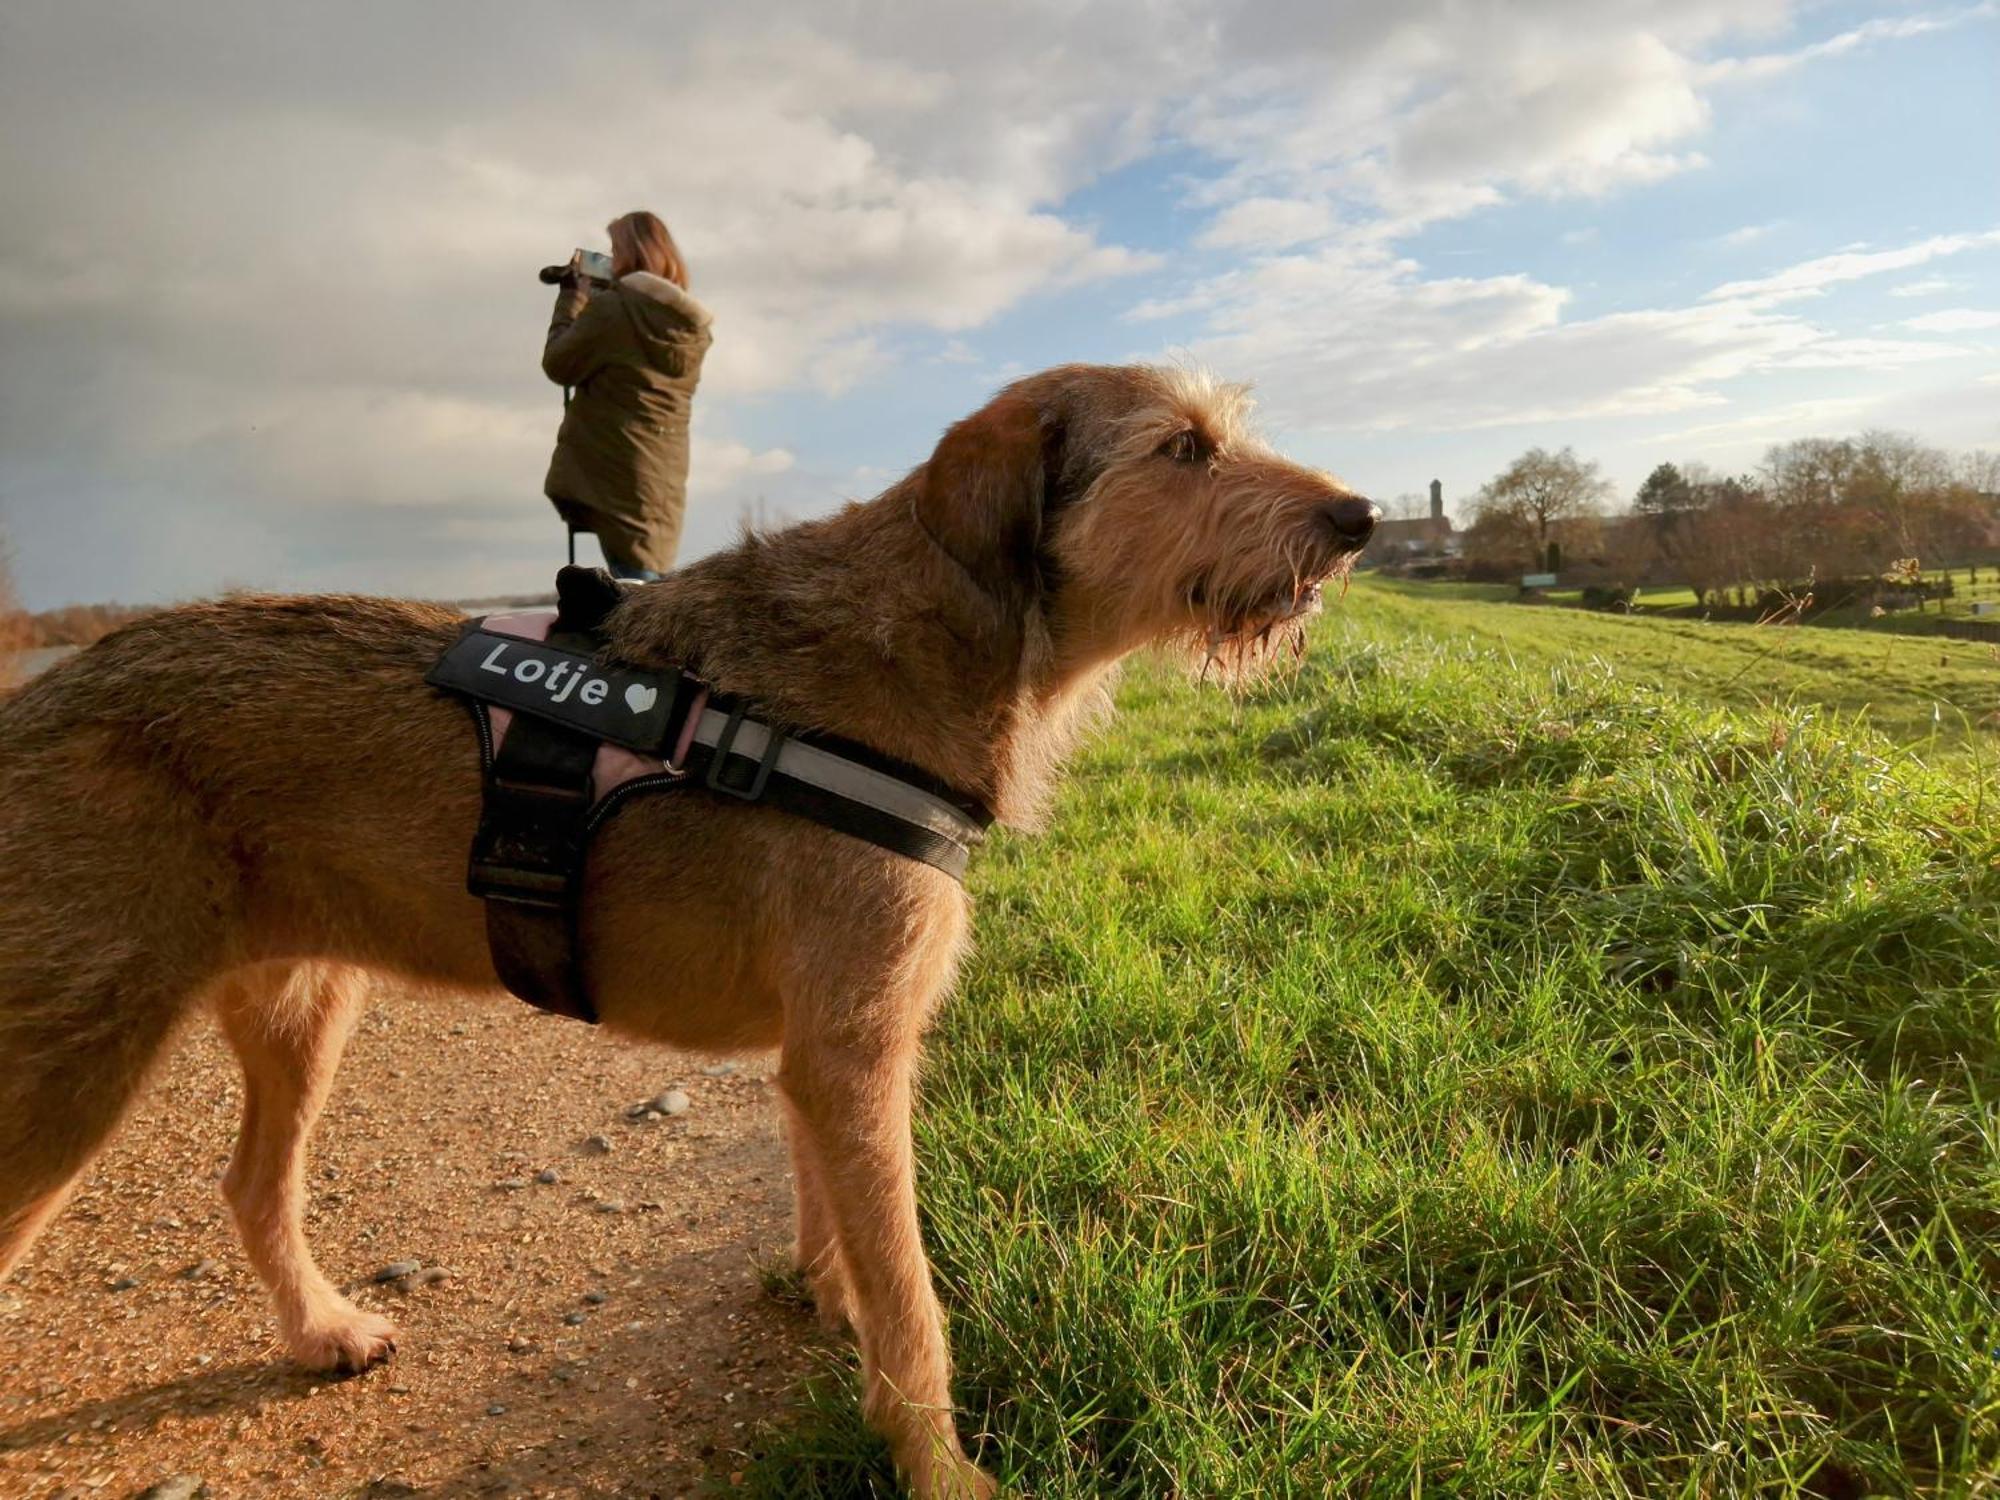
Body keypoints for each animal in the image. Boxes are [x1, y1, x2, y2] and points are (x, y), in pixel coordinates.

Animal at [0, 362, 1376, 1496]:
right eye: (1183, 447)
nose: (1359, 519)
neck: (947, 630)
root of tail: (41, 696)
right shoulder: (857, 1045)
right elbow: (912, 1296)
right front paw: (940, 1470)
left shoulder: (821, 1051)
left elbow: (837, 1221)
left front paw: (829, 1302)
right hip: (69, 1066)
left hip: (300, 1008)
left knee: (252, 1184)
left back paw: (323, 1329)